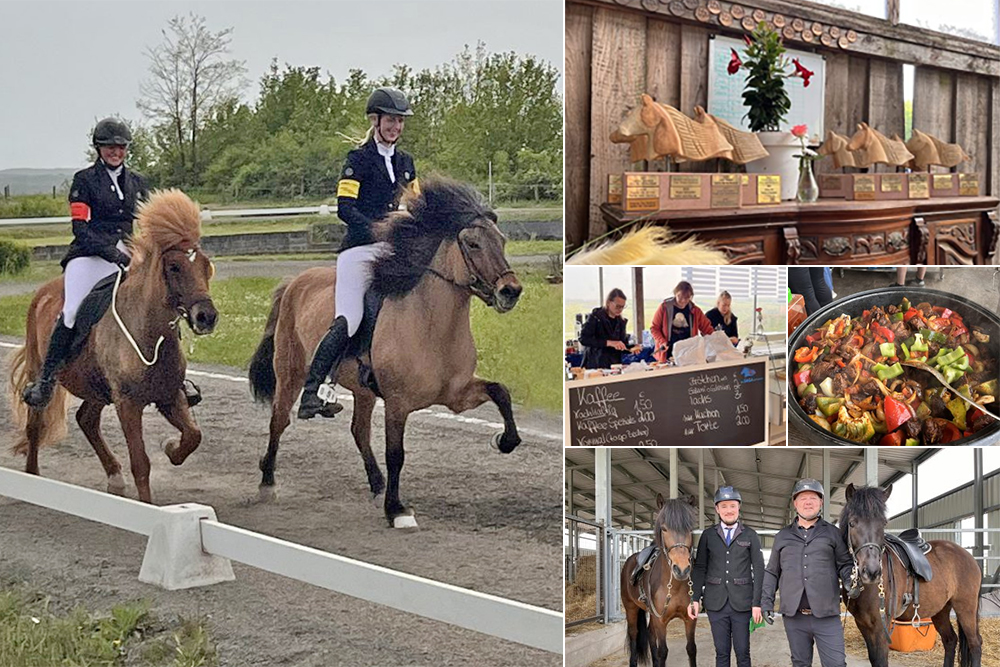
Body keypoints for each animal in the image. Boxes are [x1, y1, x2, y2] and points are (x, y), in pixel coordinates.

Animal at [9, 190, 217, 504]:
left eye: (205, 265)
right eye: (174, 267)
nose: (207, 317)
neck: (150, 335)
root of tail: (44, 292)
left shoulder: (169, 396)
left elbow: (194, 436)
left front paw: (171, 448)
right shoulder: (127, 404)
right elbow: (140, 463)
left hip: (95, 387)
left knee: (86, 419)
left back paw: (114, 478)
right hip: (39, 370)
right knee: (35, 424)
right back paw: (33, 479)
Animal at [248, 177, 524, 528]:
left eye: (501, 240)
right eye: (473, 244)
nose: (510, 292)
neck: (432, 326)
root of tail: (295, 281)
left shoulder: (457, 395)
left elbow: (500, 392)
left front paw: (504, 441)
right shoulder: (397, 403)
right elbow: (396, 454)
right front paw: (396, 510)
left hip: (362, 390)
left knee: (359, 431)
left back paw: (377, 485)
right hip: (290, 372)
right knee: (279, 421)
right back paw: (268, 482)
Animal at [616, 494, 696, 667]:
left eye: (690, 529)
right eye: (664, 528)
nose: (681, 570)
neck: (675, 586)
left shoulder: (690, 619)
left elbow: (691, 649)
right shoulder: (660, 621)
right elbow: (663, 651)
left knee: (651, 636)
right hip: (631, 608)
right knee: (634, 635)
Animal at [840, 486, 980, 667]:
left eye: (883, 524)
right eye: (852, 523)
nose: (871, 572)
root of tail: (969, 557)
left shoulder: (881, 625)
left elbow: (880, 659)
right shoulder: (863, 623)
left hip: (966, 608)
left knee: (975, 644)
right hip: (941, 610)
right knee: (950, 640)